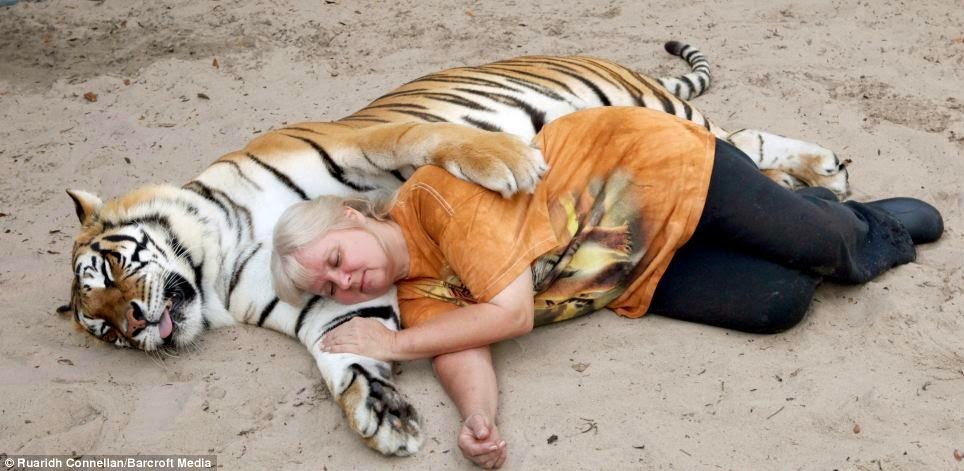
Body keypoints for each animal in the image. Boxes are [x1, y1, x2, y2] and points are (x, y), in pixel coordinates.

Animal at [60, 41, 848, 458]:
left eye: (112, 267)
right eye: (101, 326)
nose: (135, 324)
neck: (220, 262)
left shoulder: (365, 143)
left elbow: (428, 138)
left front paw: (509, 163)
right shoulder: (325, 304)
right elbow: (342, 353)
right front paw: (377, 413)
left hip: (658, 110)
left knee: (739, 139)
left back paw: (828, 168)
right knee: (745, 148)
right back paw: (820, 177)